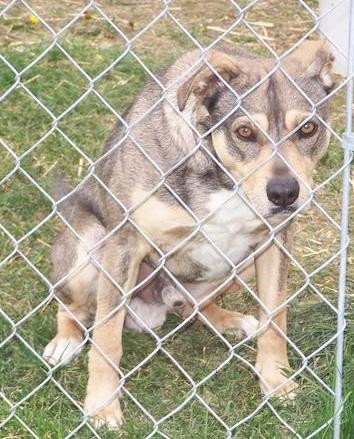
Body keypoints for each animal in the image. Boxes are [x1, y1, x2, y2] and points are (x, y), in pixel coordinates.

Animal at [42, 42, 334, 430]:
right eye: (244, 132)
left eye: (308, 128)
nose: (285, 193)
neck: (220, 176)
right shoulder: (124, 243)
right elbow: (106, 336)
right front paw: (102, 406)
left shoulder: (274, 241)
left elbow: (276, 318)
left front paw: (276, 380)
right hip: (89, 244)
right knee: (72, 306)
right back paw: (65, 341)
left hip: (237, 266)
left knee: (191, 306)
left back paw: (231, 320)